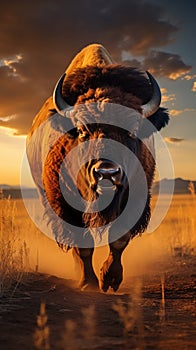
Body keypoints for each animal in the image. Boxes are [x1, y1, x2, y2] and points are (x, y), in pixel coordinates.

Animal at [26, 43, 169, 292]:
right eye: (83, 130)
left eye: (133, 130)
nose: (107, 173)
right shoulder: (67, 204)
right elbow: (83, 243)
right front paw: (89, 283)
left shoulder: (134, 197)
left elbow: (119, 239)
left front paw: (110, 279)